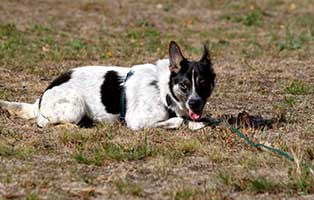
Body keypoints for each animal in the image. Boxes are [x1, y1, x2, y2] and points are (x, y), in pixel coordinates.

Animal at [0, 41, 216, 130]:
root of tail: (40, 99)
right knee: (43, 122)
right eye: (184, 85)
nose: (195, 103)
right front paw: (188, 123)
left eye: (203, 84)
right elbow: (177, 121)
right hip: (75, 106)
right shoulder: (136, 121)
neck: (163, 91)